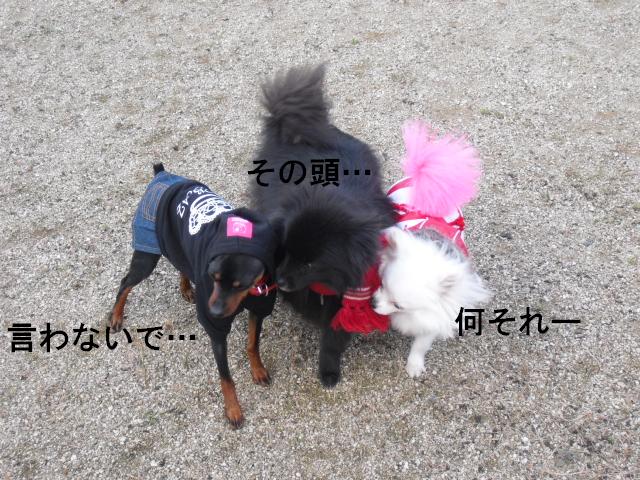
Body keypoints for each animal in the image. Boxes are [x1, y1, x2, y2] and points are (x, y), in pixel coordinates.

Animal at [109, 163, 278, 428]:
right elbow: (226, 377)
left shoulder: (259, 306)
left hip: (176, 244)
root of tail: (161, 173)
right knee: (125, 283)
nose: (214, 311)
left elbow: (252, 344)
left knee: (180, 265)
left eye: (240, 285)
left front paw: (258, 370)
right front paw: (233, 409)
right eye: (213, 276)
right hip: (147, 253)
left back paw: (186, 288)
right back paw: (116, 315)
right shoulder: (216, 329)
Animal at [372, 120, 491, 377]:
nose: (373, 303)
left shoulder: (432, 318)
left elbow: (420, 345)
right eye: (381, 283)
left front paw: (414, 365)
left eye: (399, 305)